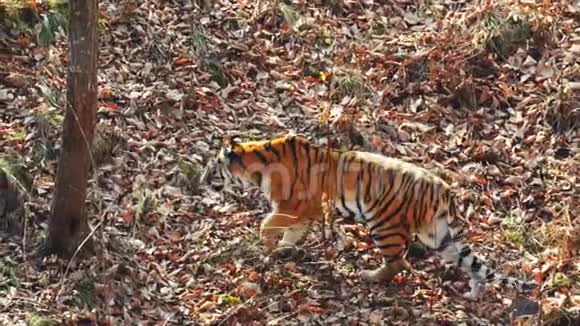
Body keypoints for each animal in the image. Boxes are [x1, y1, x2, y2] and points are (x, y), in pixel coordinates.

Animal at [201, 134, 540, 300]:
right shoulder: (305, 212)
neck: (255, 163)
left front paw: (269, 247)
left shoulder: (293, 206)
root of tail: (444, 189)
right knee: (472, 263)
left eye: (211, 166)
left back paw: (369, 276)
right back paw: (473, 292)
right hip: (439, 235)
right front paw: (284, 250)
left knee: (398, 263)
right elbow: (292, 233)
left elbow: (266, 223)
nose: (201, 180)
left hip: (384, 224)